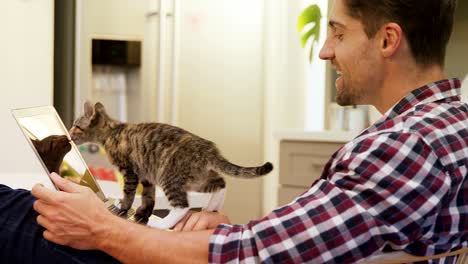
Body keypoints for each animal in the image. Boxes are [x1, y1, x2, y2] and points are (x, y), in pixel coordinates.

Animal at [70, 101, 274, 229]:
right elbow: (148, 197)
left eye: (76, 126)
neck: (113, 131)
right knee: (221, 182)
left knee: (183, 205)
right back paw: (211, 207)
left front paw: (123, 207)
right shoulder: (146, 176)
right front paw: (142, 213)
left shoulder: (130, 171)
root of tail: (209, 149)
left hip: (169, 176)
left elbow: (129, 193)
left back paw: (161, 224)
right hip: (196, 178)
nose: (70, 134)